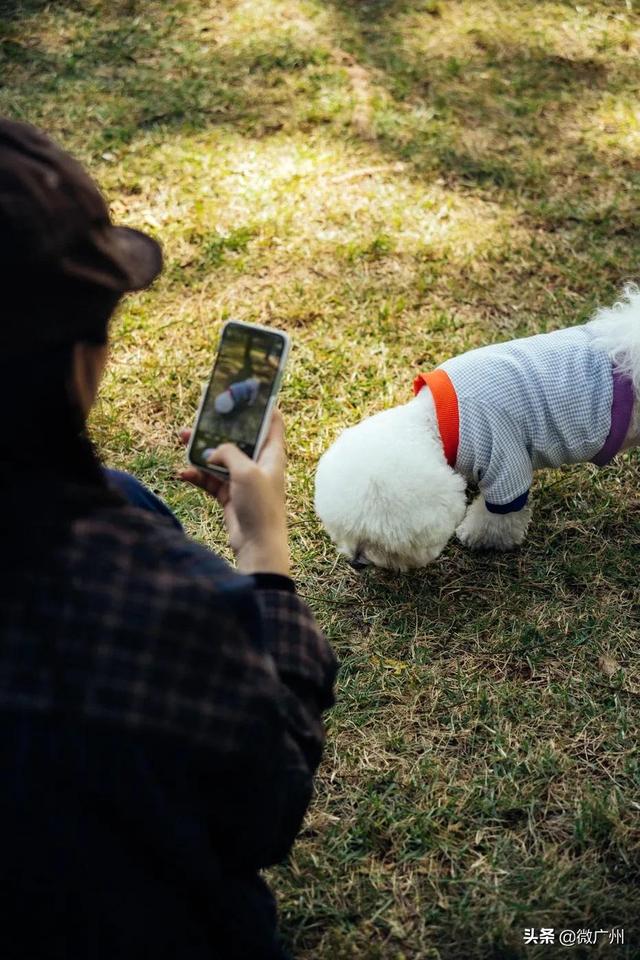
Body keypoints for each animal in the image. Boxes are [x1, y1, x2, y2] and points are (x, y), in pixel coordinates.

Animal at [316, 284, 640, 568]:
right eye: (345, 532)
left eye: (380, 542)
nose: (356, 562)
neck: (435, 422)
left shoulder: (503, 454)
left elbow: (498, 515)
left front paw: (476, 536)